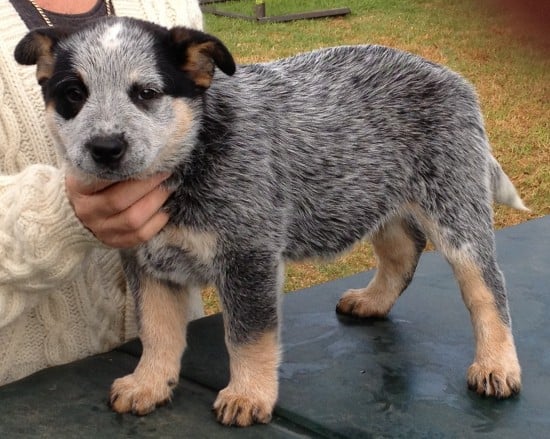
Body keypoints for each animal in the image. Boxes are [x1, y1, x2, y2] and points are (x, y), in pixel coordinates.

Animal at [15, 16, 528, 426]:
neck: (192, 158)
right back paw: (373, 300)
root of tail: (451, 76)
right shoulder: (147, 261)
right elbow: (157, 331)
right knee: (403, 252)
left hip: (455, 204)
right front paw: (149, 383)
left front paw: (248, 395)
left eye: (146, 93)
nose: (105, 148)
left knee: (488, 287)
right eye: (73, 94)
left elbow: (249, 335)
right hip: (374, 194)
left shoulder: (248, 254)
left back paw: (497, 364)